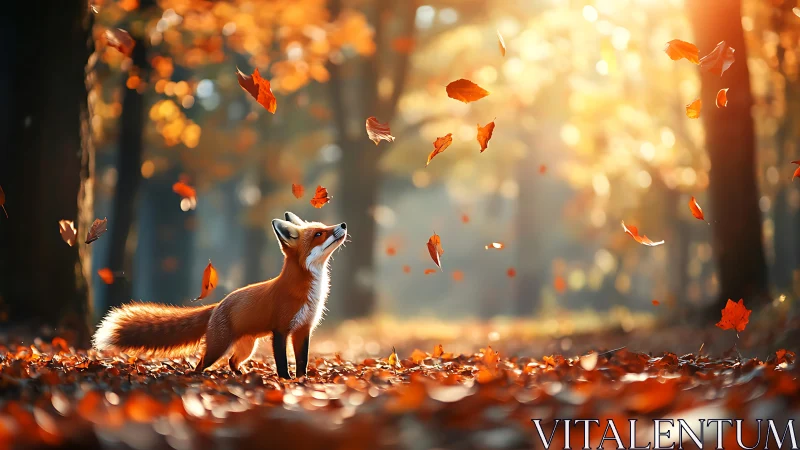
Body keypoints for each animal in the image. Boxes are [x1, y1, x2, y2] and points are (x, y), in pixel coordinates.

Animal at [92, 212, 347, 379]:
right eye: (319, 233)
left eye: (323, 227)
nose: (343, 224)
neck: (308, 292)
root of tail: (219, 304)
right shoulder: (281, 330)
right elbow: (282, 363)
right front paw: (285, 381)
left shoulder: (303, 330)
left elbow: (302, 362)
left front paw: (301, 382)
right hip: (218, 347)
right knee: (200, 364)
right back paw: (199, 378)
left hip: (246, 348)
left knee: (232, 361)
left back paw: (240, 375)